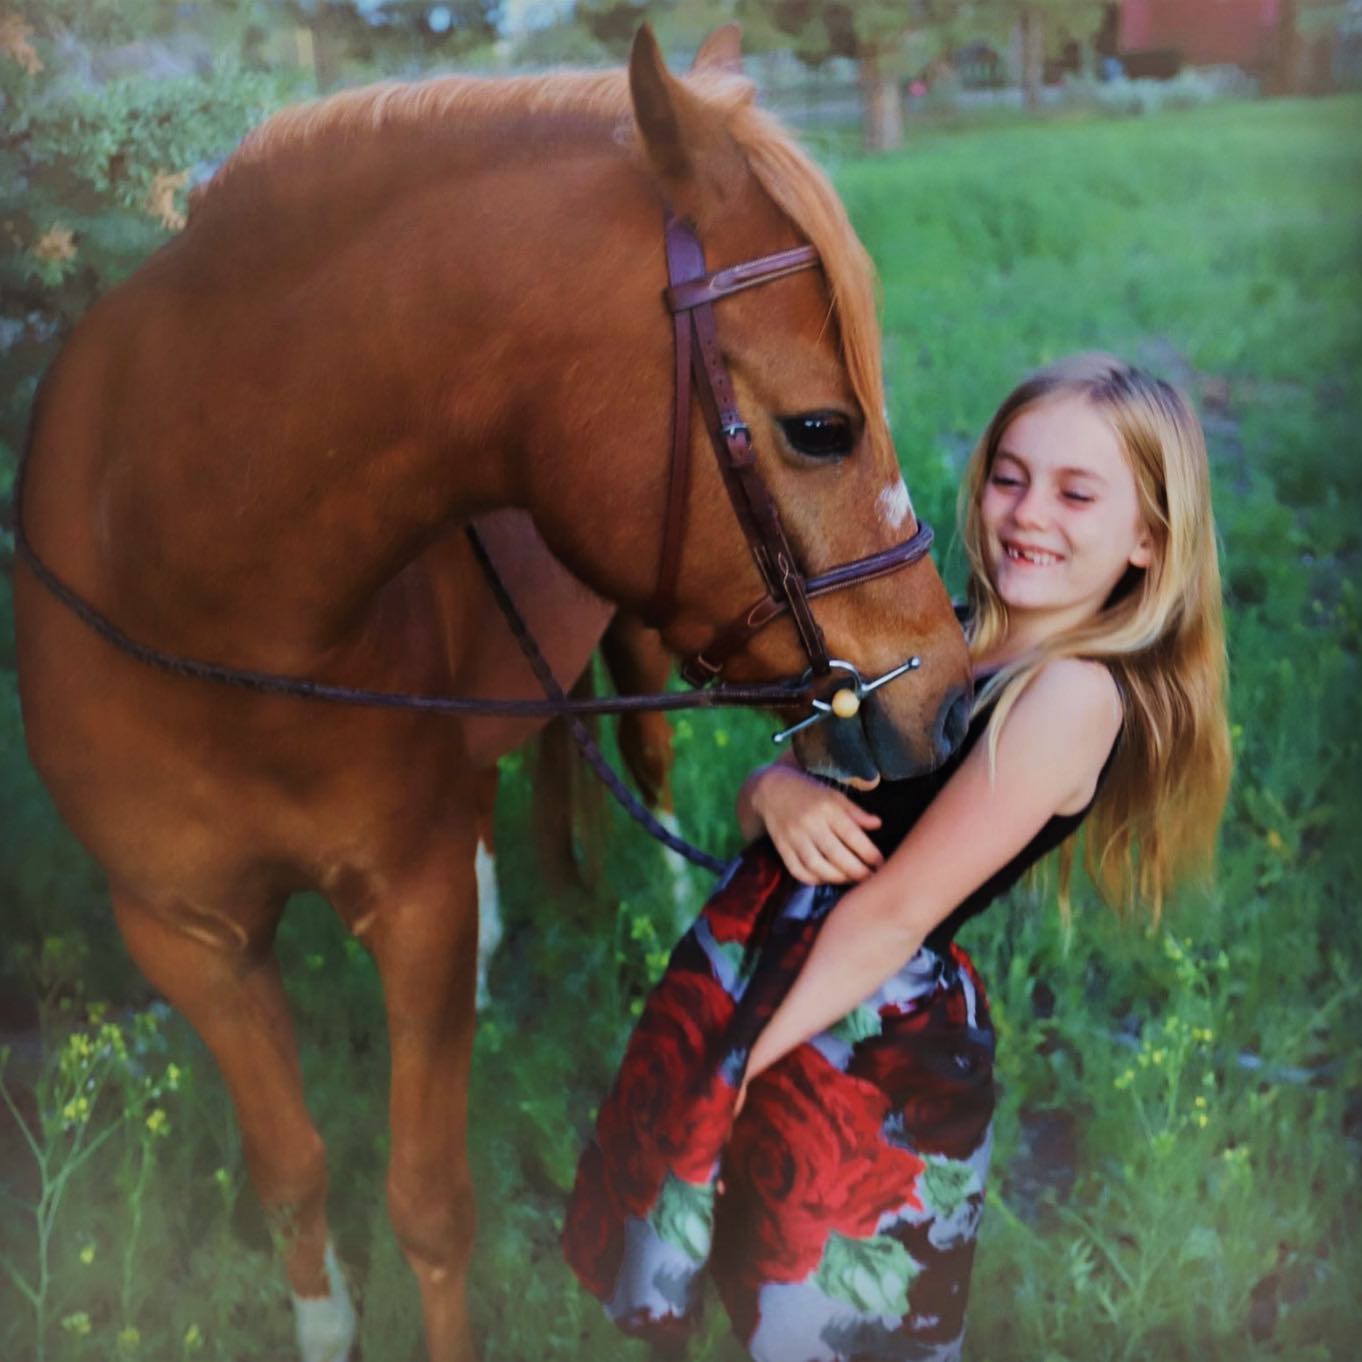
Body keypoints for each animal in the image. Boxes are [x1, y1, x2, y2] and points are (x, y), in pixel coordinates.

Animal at [13, 25, 971, 1362]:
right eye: (823, 427)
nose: (949, 695)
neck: (186, 580)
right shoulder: (186, 937)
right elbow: (294, 1180)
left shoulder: (410, 906)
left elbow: (427, 1201)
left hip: (635, 641)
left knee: (645, 778)